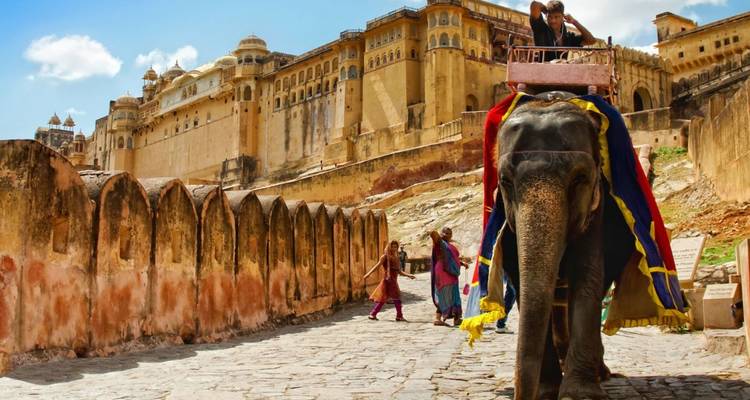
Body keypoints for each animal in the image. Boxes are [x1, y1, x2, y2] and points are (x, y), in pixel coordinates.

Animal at [495, 92, 635, 399]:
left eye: (580, 178)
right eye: (505, 181)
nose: (521, 394)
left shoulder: (598, 208)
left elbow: (588, 275)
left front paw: (580, 394)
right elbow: (522, 282)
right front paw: (546, 390)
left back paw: (600, 373)